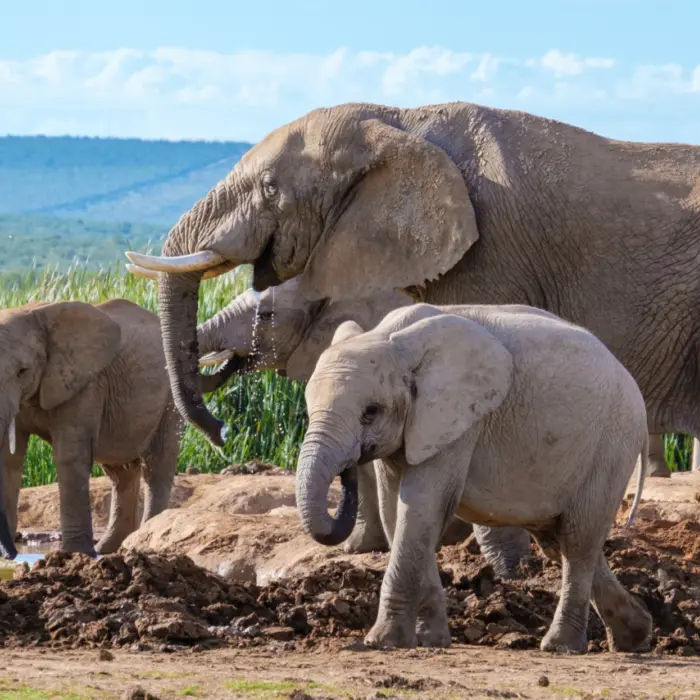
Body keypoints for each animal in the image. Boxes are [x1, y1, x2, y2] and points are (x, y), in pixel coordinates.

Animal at [0, 300, 180, 556]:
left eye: (22, 372)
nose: (14, 555)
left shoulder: (85, 386)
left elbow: (69, 457)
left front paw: (76, 554)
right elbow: (9, 459)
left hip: (170, 398)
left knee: (156, 467)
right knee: (121, 473)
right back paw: (109, 549)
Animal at [296, 304, 652, 652]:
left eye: (371, 411)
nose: (348, 470)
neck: (390, 337)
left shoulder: (458, 421)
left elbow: (421, 507)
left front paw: (384, 642)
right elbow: (397, 513)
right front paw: (430, 640)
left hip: (611, 445)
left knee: (579, 541)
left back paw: (560, 647)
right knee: (561, 541)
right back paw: (634, 637)